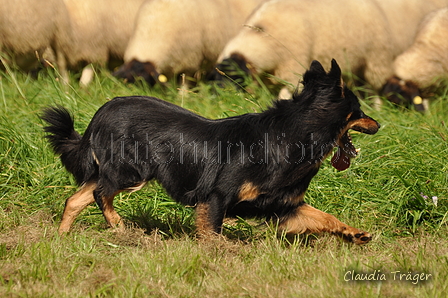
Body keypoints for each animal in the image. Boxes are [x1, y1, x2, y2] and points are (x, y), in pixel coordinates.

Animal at [41, 58, 378, 244]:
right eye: (360, 111)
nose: (378, 124)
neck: (294, 136)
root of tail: (100, 114)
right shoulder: (216, 197)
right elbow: (211, 232)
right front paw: (218, 253)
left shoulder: (284, 206)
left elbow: (326, 217)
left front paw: (355, 234)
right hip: (131, 173)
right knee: (100, 194)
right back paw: (119, 225)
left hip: (115, 172)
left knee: (76, 199)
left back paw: (61, 238)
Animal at [213, 0, 448, 97]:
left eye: (235, 77)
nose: (220, 100)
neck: (262, 36)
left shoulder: (292, 67)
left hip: (374, 60)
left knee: (372, 89)